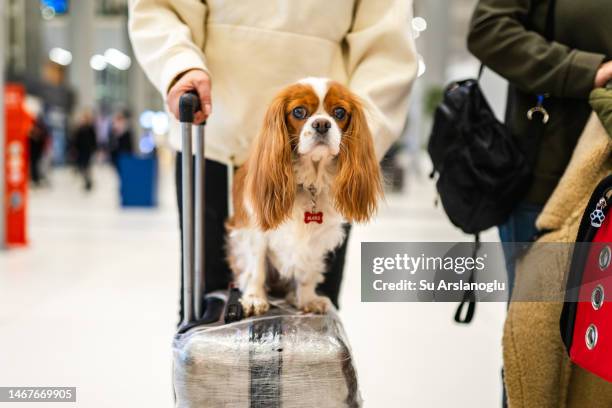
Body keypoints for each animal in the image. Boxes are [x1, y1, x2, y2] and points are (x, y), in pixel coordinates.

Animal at [225, 79, 382, 316]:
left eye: (339, 112)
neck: (310, 181)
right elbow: (256, 267)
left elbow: (307, 271)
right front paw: (254, 298)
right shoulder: (254, 230)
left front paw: (307, 299)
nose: (322, 124)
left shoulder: (317, 238)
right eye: (299, 111)